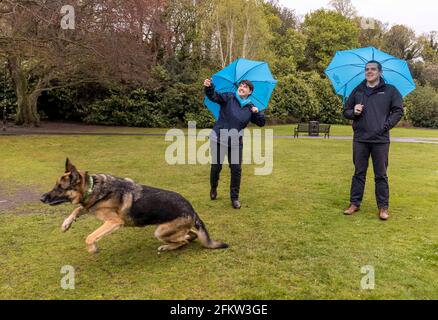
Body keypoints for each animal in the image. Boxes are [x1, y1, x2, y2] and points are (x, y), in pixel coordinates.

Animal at [41, 159, 229, 254]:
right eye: (55, 185)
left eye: (60, 188)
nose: (42, 198)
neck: (92, 187)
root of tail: (192, 209)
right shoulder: (88, 206)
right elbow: (78, 209)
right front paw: (66, 223)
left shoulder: (114, 222)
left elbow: (90, 236)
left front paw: (92, 248)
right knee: (190, 236)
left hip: (160, 231)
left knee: (184, 240)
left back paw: (167, 247)